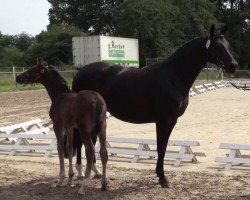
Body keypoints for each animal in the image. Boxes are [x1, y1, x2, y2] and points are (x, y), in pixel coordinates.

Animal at [72, 25, 236, 188]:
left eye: (227, 45)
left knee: (90, 142)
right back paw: (80, 172)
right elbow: (161, 147)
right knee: (80, 141)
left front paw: (160, 176)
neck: (173, 76)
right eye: (217, 46)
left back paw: (96, 172)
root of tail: (80, 72)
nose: (233, 66)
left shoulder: (172, 120)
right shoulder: (163, 120)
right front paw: (163, 178)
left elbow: (163, 147)